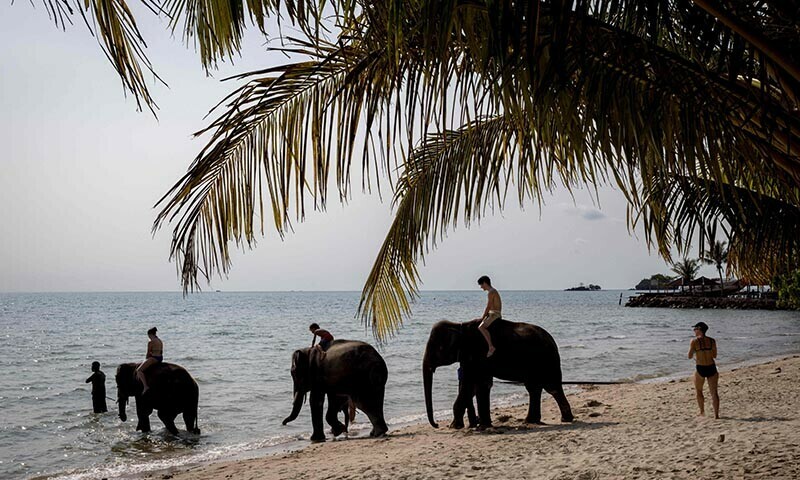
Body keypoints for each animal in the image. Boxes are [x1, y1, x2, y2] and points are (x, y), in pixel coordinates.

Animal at [422, 320, 572, 430]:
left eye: (437, 348)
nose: (437, 425)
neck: (459, 325)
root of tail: (552, 340)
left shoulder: (477, 355)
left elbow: (469, 385)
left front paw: (454, 426)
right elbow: (482, 384)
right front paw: (484, 425)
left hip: (546, 361)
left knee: (551, 387)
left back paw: (564, 419)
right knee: (534, 388)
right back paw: (531, 421)